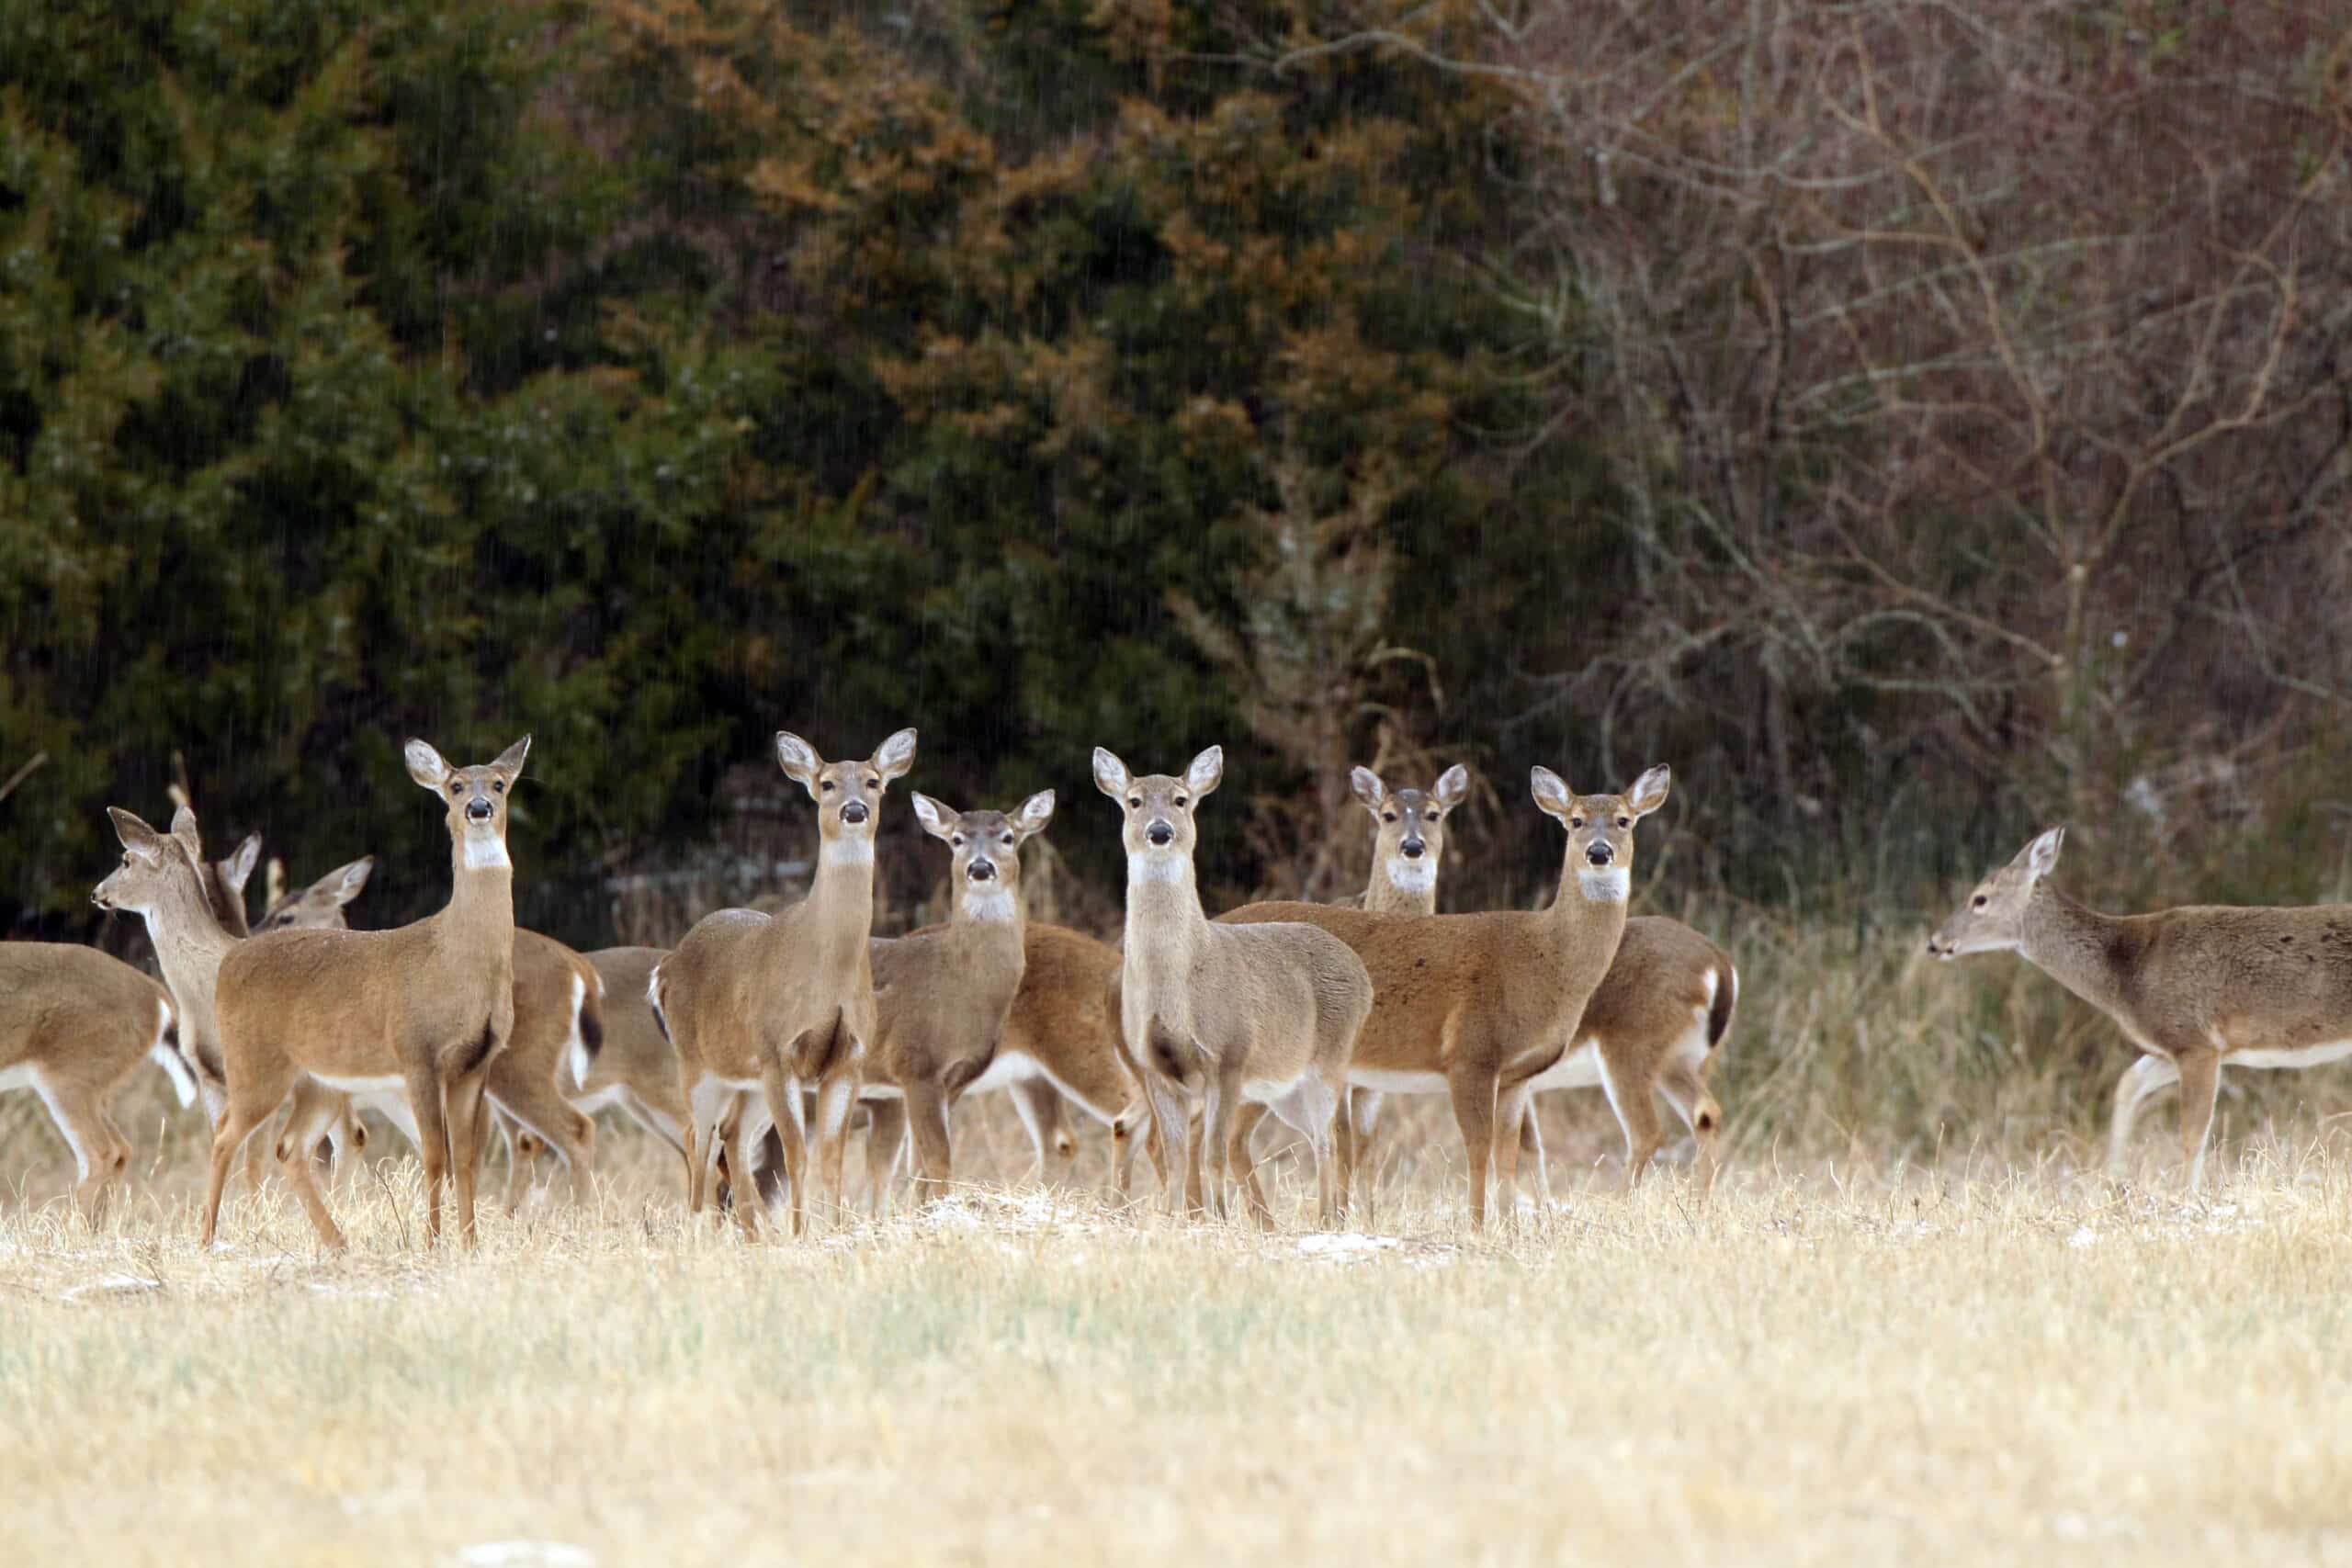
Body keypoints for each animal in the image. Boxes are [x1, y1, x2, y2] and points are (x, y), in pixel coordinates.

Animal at [198, 736, 532, 1249]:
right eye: (456, 786)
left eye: (499, 783)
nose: (479, 808)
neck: (455, 958)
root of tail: (230, 962)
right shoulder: (417, 1051)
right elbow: (435, 1154)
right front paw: (431, 1242)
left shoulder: (476, 1063)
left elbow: (467, 1159)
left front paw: (470, 1244)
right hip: (254, 1062)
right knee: (224, 1135)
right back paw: (207, 1237)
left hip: (321, 1081)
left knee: (289, 1146)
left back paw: (338, 1243)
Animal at [651, 727, 916, 1236]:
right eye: (827, 783)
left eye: (874, 781)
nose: (855, 810)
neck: (825, 975)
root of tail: (666, 966)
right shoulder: (779, 1051)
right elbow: (796, 1155)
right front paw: (799, 1233)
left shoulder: (849, 1060)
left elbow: (831, 1159)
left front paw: (833, 1231)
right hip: (696, 1062)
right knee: (697, 1135)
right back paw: (698, 1231)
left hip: (747, 1078)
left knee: (731, 1135)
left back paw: (754, 1234)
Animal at [1095, 745, 1370, 1227]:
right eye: (1134, 801)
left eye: (1181, 799)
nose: (1160, 831)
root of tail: (1363, 974)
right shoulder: (1155, 1070)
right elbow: (1175, 1155)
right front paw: (1174, 1217)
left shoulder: (1229, 1057)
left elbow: (1212, 1153)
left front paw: (1219, 1218)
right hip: (1284, 1087)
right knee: (1319, 1137)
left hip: (1330, 1061)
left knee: (1327, 1140)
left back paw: (1325, 1221)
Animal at [1218, 764, 1669, 1228]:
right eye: (1576, 820)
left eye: (1623, 820)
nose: (1599, 852)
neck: (1544, 961)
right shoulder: (1469, 1052)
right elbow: (1478, 1147)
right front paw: (1477, 1226)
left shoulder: (1517, 1076)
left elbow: (1508, 1151)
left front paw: (1510, 1227)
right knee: (1228, 1134)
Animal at [1927, 826, 2352, 1189]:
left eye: (1980, 898)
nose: (1935, 942)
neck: (2123, 974)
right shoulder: (2168, 1047)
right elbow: (2126, 1085)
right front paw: (2109, 1182)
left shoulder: (2196, 1040)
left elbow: (2193, 1132)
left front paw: (2185, 1198)